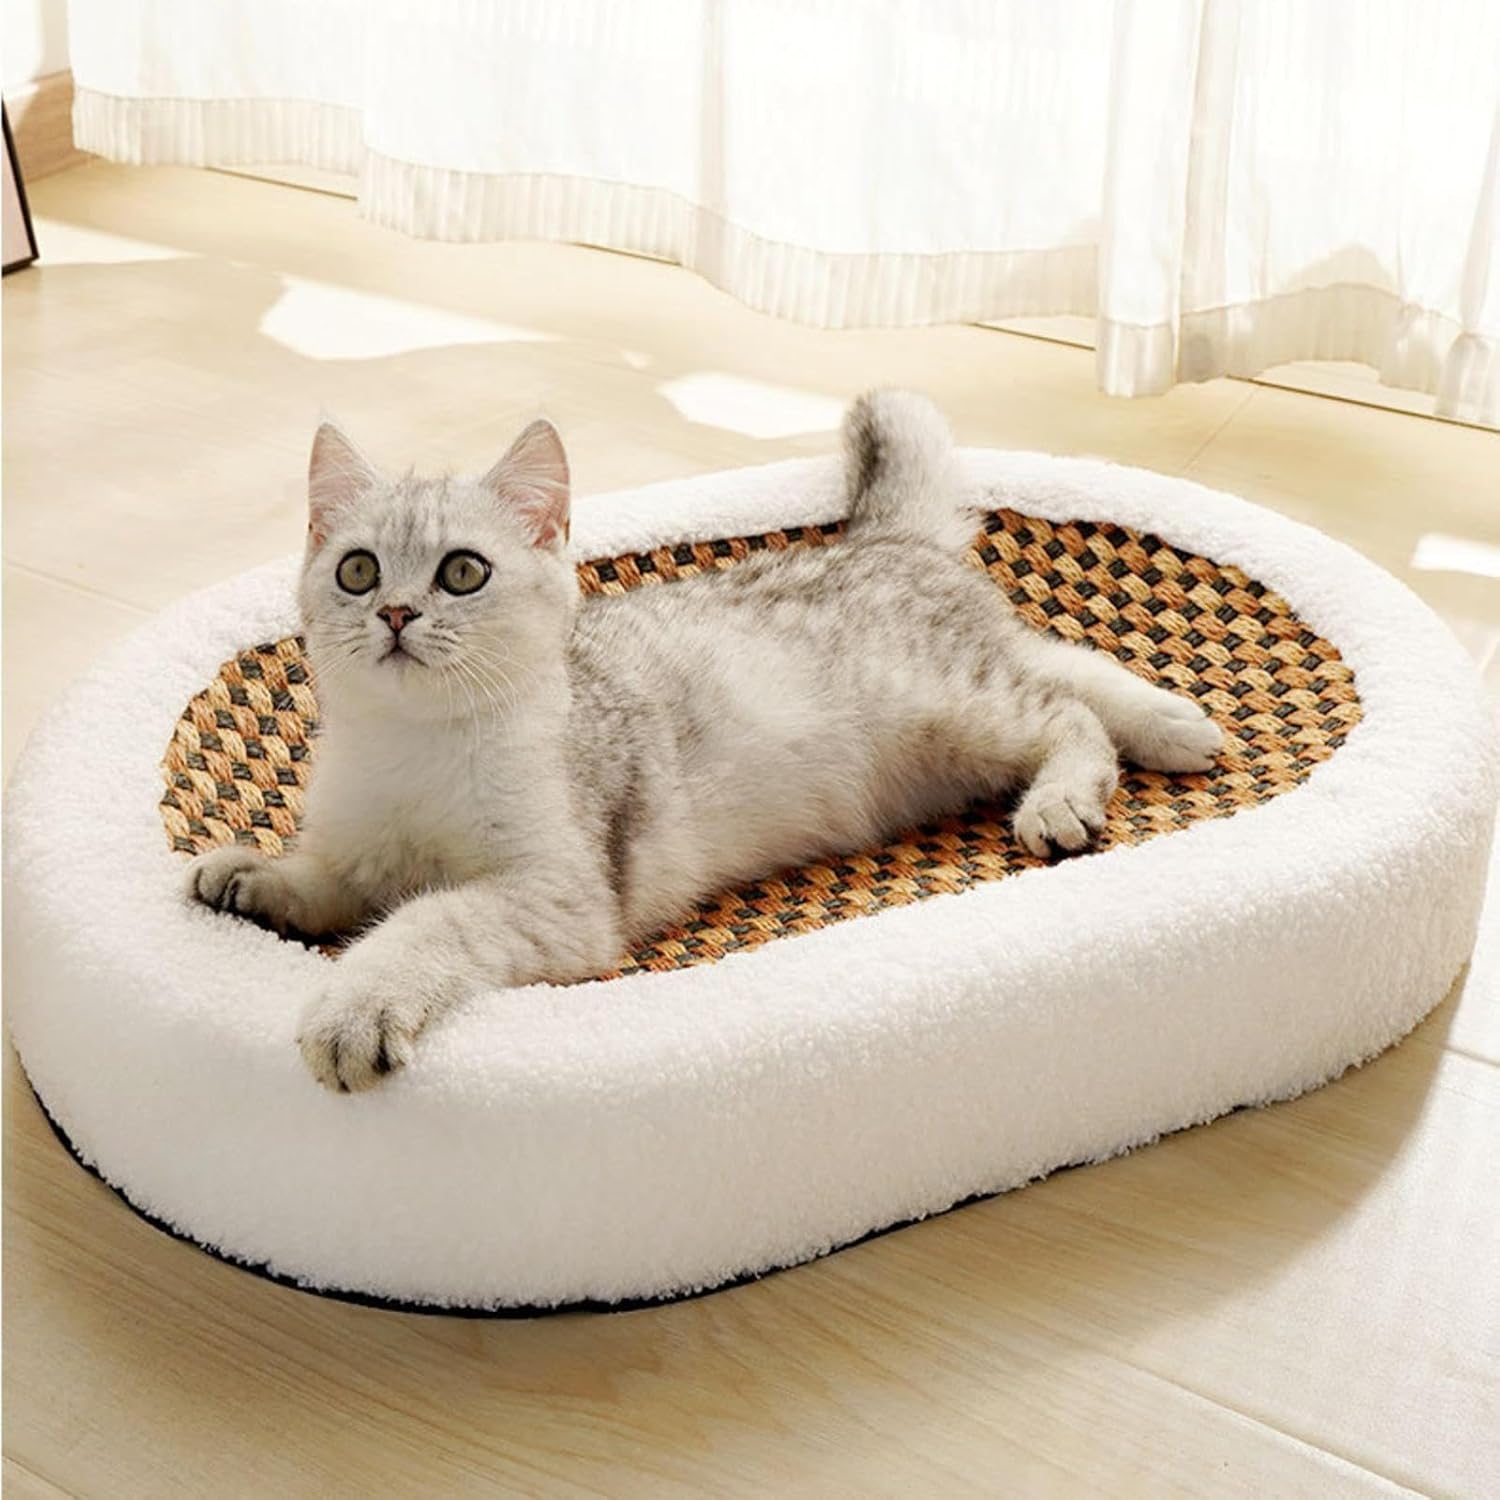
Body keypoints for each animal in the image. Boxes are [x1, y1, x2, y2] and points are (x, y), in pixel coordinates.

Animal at [187, 387, 1218, 1092]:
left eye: (463, 573)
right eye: (358, 570)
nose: (397, 613)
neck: (413, 746)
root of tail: (881, 539)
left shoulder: (557, 897)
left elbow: (422, 920)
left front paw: (355, 1007)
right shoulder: (359, 850)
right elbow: (332, 882)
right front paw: (252, 877)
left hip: (956, 710)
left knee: (1067, 712)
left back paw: (1070, 799)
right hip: (973, 700)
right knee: (1060, 659)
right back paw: (1179, 724)